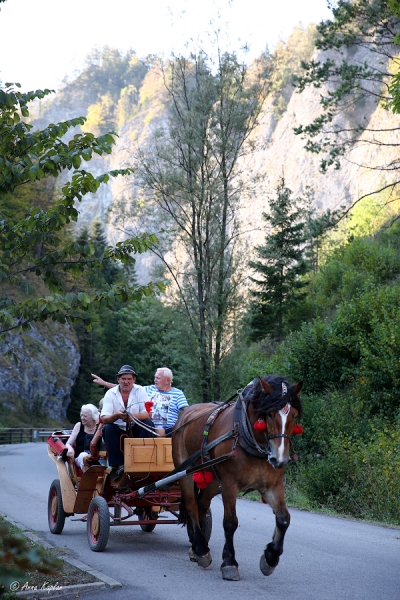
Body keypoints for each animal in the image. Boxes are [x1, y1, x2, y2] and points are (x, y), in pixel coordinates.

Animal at [172, 376, 304, 580]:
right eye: (269, 414)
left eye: (294, 416)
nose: (279, 459)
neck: (246, 435)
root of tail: (185, 414)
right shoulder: (229, 484)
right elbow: (230, 522)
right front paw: (229, 563)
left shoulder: (273, 485)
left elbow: (283, 518)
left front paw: (270, 558)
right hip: (186, 472)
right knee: (192, 505)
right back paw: (201, 549)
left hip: (212, 479)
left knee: (202, 505)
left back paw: (197, 548)